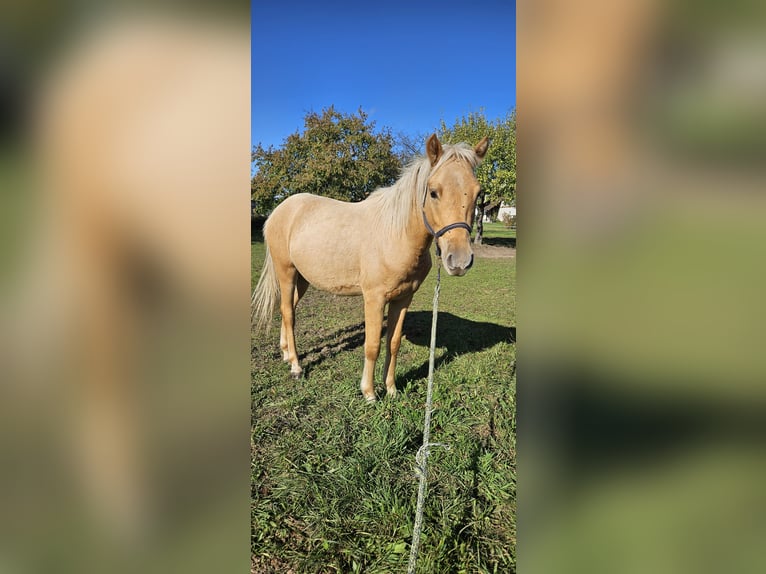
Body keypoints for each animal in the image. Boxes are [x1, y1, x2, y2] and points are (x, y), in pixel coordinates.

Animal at [255, 136, 488, 404]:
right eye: (433, 192)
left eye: (478, 192)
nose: (459, 260)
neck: (395, 234)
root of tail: (280, 210)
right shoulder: (374, 299)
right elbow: (373, 345)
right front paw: (369, 392)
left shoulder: (403, 298)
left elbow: (393, 343)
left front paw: (391, 389)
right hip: (287, 272)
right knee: (288, 313)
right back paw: (295, 366)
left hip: (302, 278)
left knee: (288, 309)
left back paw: (285, 353)